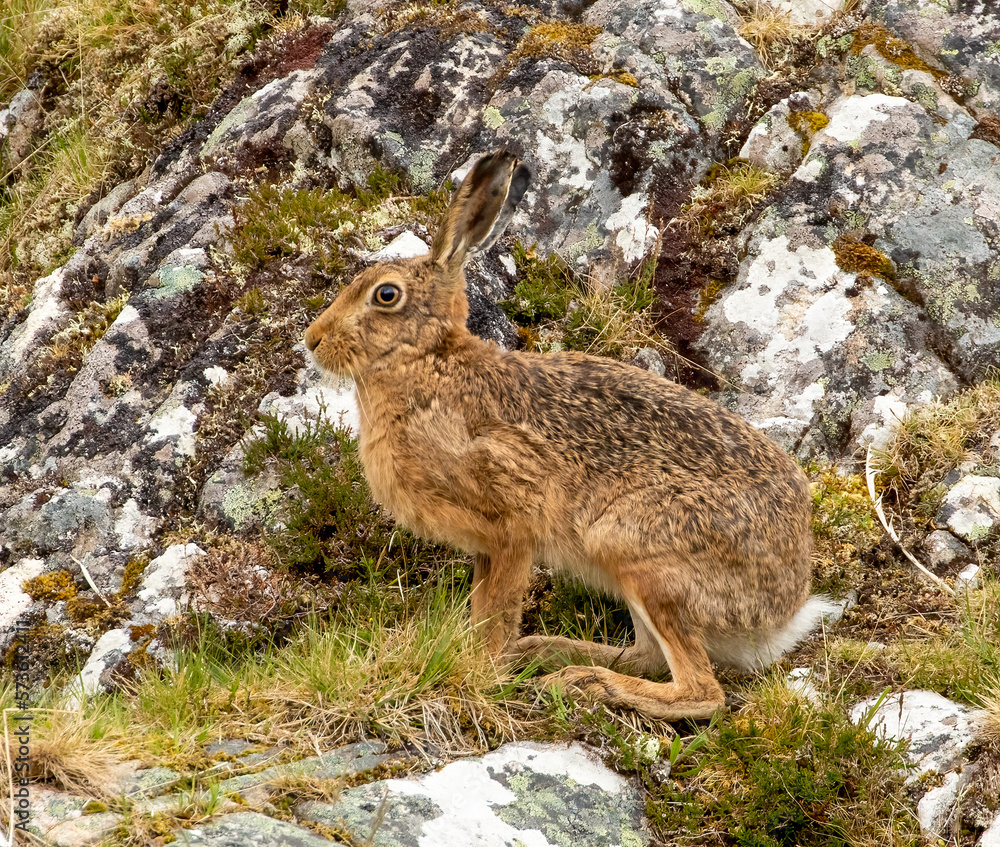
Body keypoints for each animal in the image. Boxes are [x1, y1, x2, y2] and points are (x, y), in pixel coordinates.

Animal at [304, 150, 831, 720]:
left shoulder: (512, 521)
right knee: (650, 657)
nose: (312, 340)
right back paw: (549, 653)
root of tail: (784, 608)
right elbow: (482, 607)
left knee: (701, 692)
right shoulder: (485, 545)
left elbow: (496, 610)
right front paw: (487, 659)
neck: (425, 361)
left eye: (385, 295)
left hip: (636, 547)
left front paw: (484, 671)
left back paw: (581, 682)